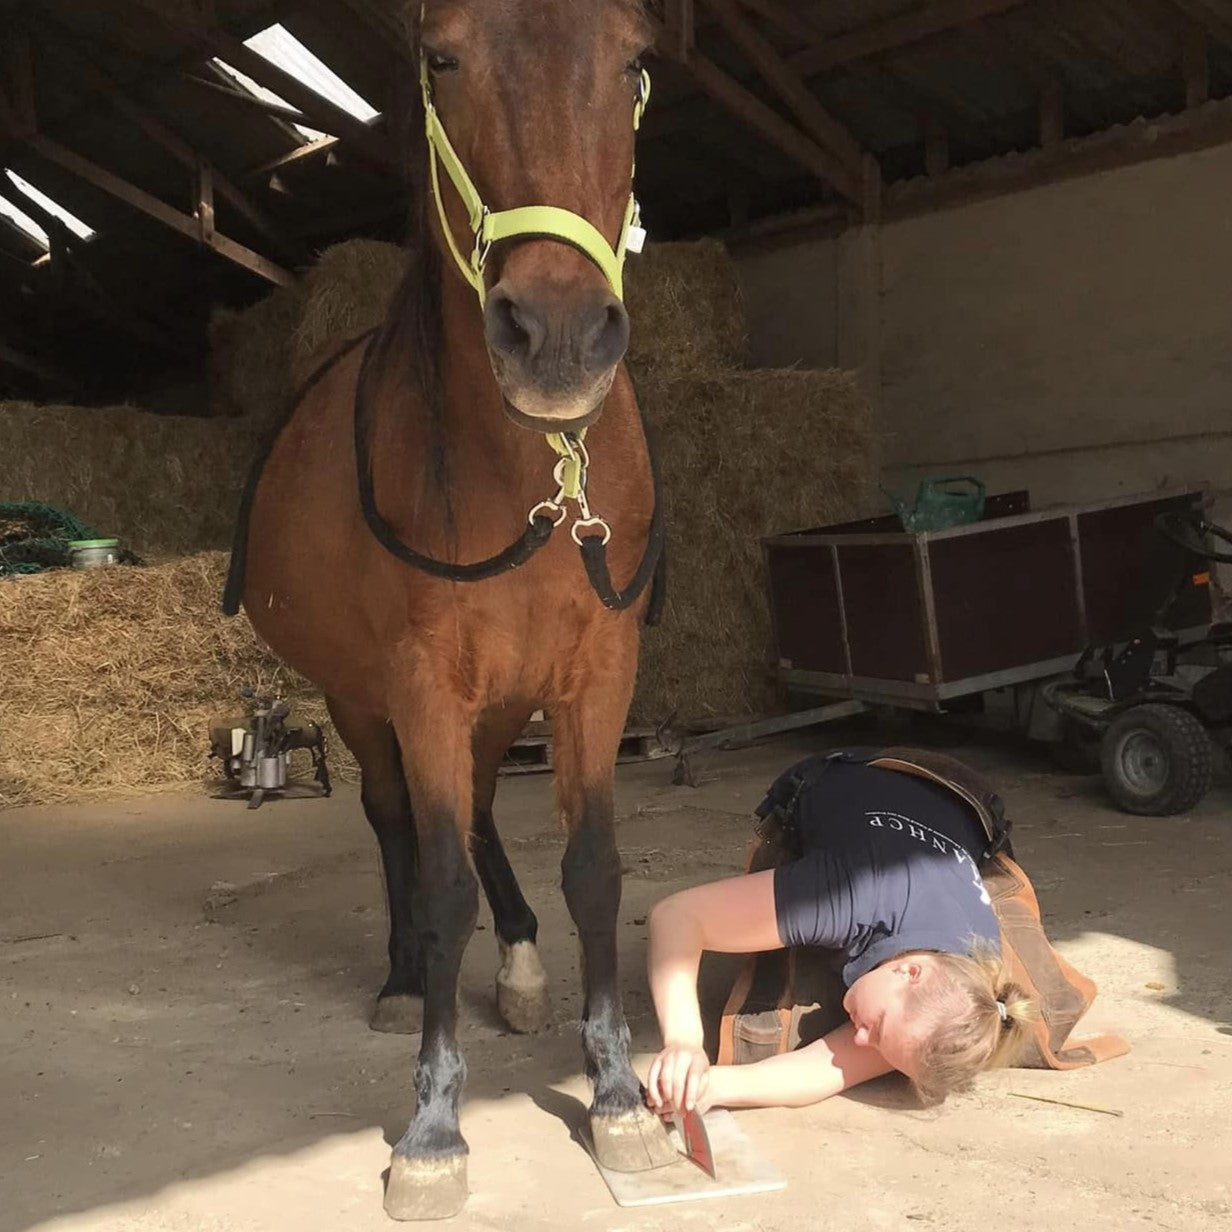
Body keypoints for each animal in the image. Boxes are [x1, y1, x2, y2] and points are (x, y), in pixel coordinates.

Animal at [227, 0, 680, 1217]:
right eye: (442, 56)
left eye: (634, 61)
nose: (558, 336)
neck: (532, 472)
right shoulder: (422, 683)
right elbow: (434, 880)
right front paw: (433, 1129)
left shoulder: (593, 676)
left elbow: (590, 870)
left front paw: (617, 1093)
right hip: (363, 698)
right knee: (400, 824)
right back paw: (396, 979)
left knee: (475, 810)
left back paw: (518, 962)